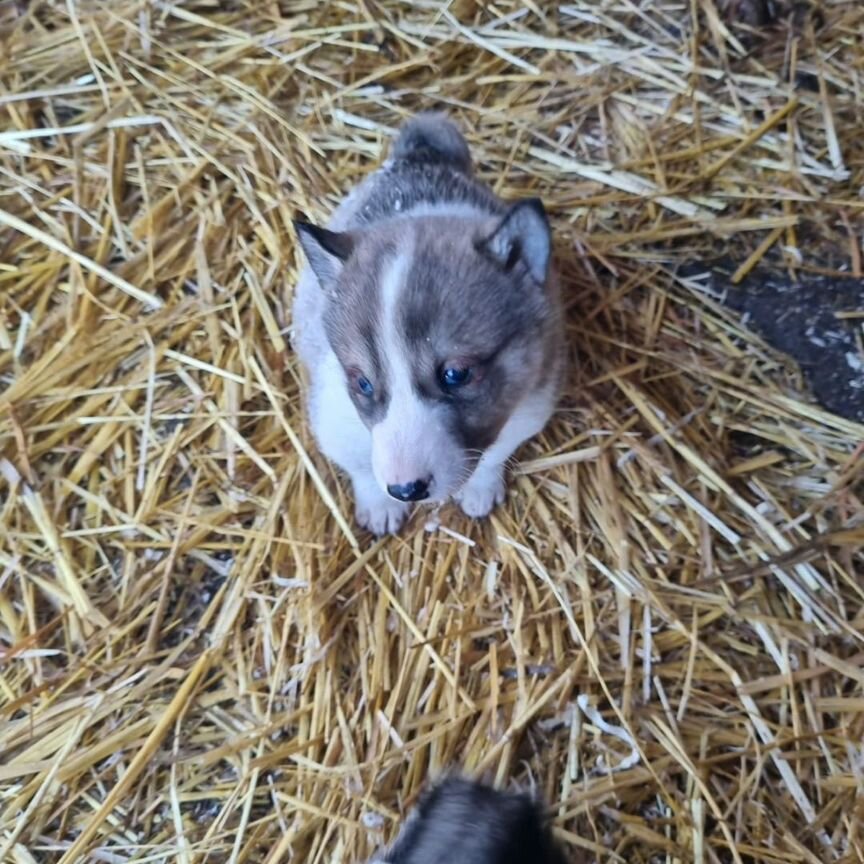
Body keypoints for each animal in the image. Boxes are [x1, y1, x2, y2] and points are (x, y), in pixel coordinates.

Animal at [294, 115, 564, 532]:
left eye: (456, 374)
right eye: (362, 383)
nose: (406, 490)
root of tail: (417, 156)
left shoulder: (527, 411)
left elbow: (493, 455)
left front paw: (480, 488)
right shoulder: (332, 419)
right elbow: (361, 467)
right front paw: (380, 506)